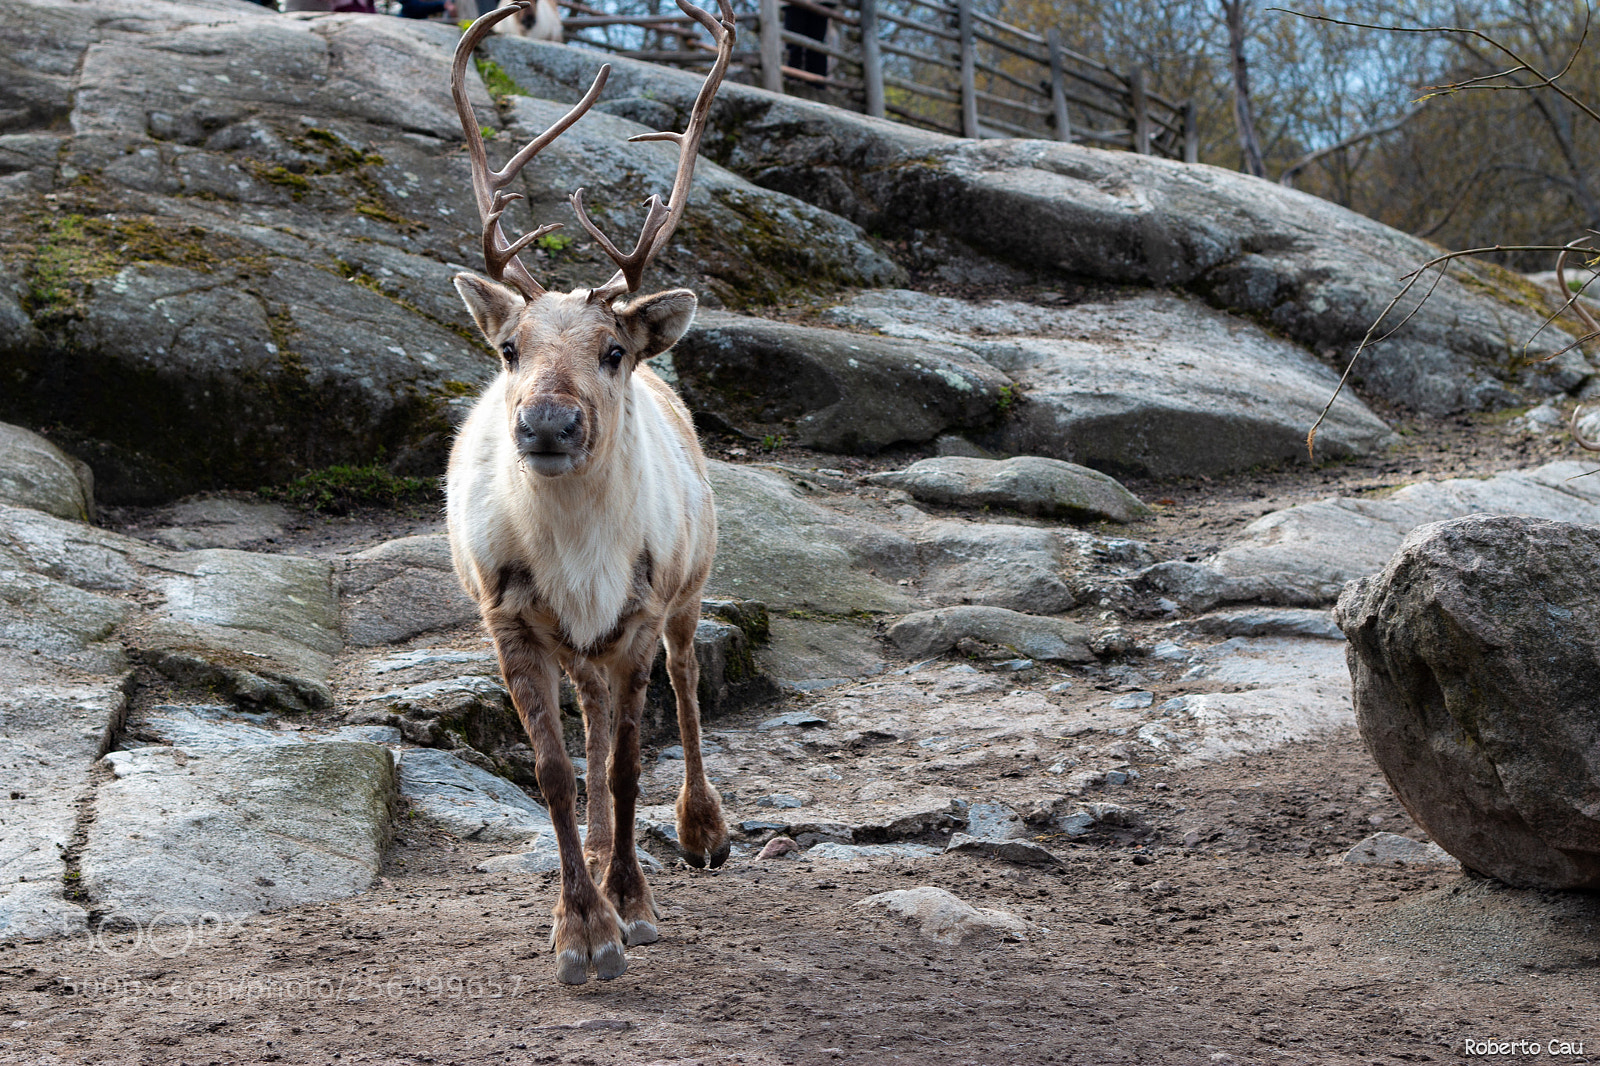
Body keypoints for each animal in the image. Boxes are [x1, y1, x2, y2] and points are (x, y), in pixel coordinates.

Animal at [444, 0, 735, 984]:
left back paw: (702, 830)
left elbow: (626, 767)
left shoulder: (640, 609)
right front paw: (581, 929)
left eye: (613, 350)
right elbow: (555, 772)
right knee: (596, 719)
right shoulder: (509, 618)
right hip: (581, 648)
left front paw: (632, 911)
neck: (578, 559)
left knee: (682, 686)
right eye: (509, 349)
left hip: (687, 590)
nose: (546, 425)